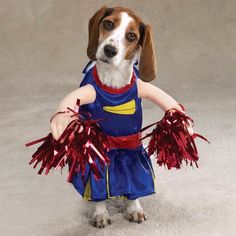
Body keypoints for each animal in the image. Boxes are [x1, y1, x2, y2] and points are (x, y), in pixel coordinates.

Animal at [50, 6, 184, 228]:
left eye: (131, 36)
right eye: (108, 24)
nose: (109, 50)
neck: (113, 82)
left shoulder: (133, 147)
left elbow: (136, 179)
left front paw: (134, 208)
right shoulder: (96, 149)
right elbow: (97, 188)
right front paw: (100, 213)